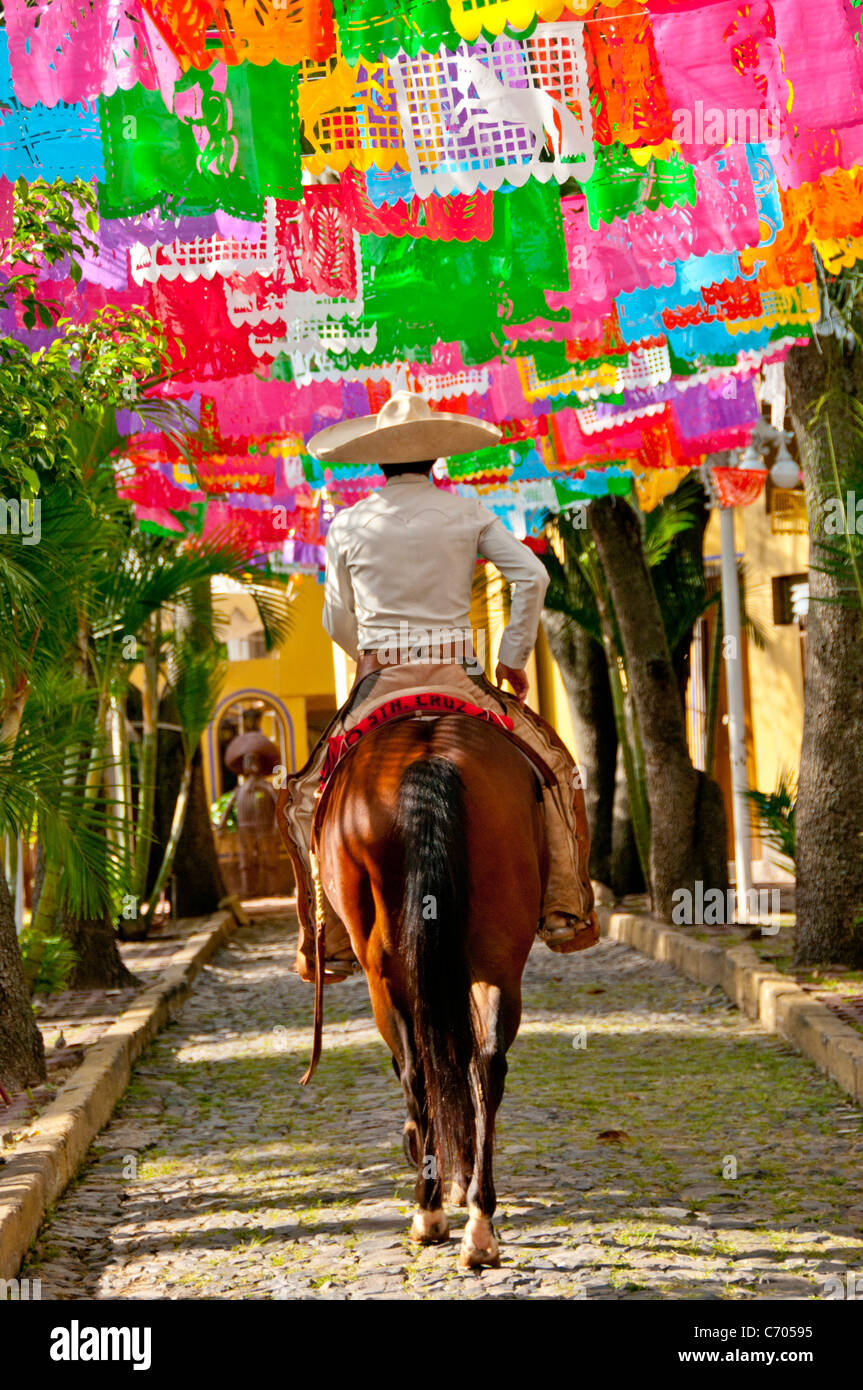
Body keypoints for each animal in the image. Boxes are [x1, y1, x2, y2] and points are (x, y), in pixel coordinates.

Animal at [311, 711, 544, 1267]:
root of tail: (429, 753)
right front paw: (462, 1181)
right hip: (499, 949)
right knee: (486, 1064)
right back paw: (479, 1224)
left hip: (384, 969)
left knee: (416, 1073)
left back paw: (429, 1209)